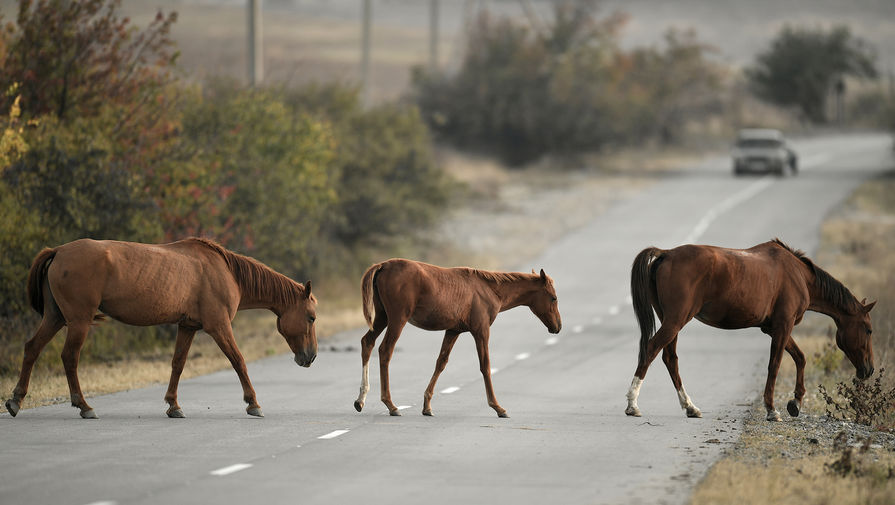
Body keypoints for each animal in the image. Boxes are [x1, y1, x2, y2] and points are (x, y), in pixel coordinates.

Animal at [2, 238, 318, 420]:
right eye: (311, 317)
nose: (311, 356)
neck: (226, 272)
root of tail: (58, 251)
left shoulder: (187, 326)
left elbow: (178, 363)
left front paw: (173, 405)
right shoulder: (219, 326)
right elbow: (238, 361)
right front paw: (253, 403)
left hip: (55, 318)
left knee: (32, 348)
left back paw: (16, 400)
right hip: (78, 322)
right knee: (69, 357)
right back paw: (84, 406)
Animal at [350, 260, 560, 418]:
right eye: (553, 298)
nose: (558, 326)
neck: (489, 290)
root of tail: (383, 265)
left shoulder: (453, 331)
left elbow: (441, 363)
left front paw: (427, 406)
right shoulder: (481, 331)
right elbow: (485, 366)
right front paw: (498, 407)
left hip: (382, 318)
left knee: (367, 343)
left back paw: (361, 400)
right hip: (397, 319)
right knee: (385, 351)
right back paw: (391, 405)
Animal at [628, 238, 872, 420]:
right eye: (868, 329)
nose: (868, 370)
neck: (798, 275)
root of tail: (666, 254)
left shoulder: (773, 328)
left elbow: (800, 358)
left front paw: (795, 402)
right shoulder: (783, 326)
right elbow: (775, 365)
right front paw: (772, 409)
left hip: (670, 321)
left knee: (670, 358)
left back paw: (690, 407)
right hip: (675, 321)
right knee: (651, 349)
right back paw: (632, 404)